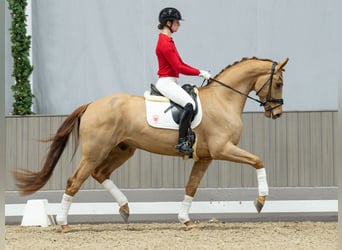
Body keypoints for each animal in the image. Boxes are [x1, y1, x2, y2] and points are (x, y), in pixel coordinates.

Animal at [12, 57, 288, 232]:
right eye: (278, 83)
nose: (276, 113)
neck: (223, 99)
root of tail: (92, 104)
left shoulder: (206, 157)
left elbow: (191, 186)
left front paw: (185, 220)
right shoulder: (223, 150)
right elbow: (258, 160)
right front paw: (260, 201)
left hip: (123, 150)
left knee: (100, 173)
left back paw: (124, 208)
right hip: (95, 151)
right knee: (75, 181)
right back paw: (63, 223)